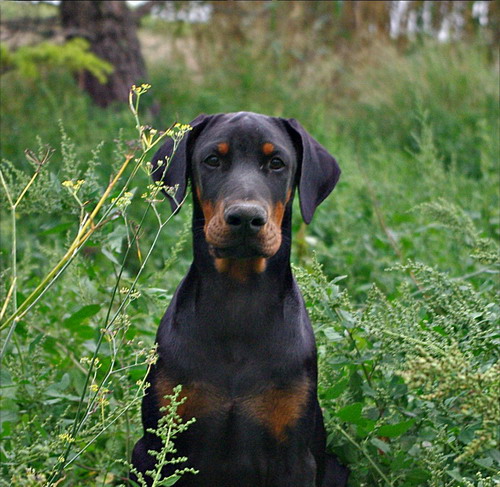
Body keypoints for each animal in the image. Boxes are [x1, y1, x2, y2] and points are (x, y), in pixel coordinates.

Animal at [131, 112, 348, 486]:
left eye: (277, 163)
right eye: (212, 160)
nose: (245, 218)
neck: (238, 297)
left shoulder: (294, 457)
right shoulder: (158, 448)